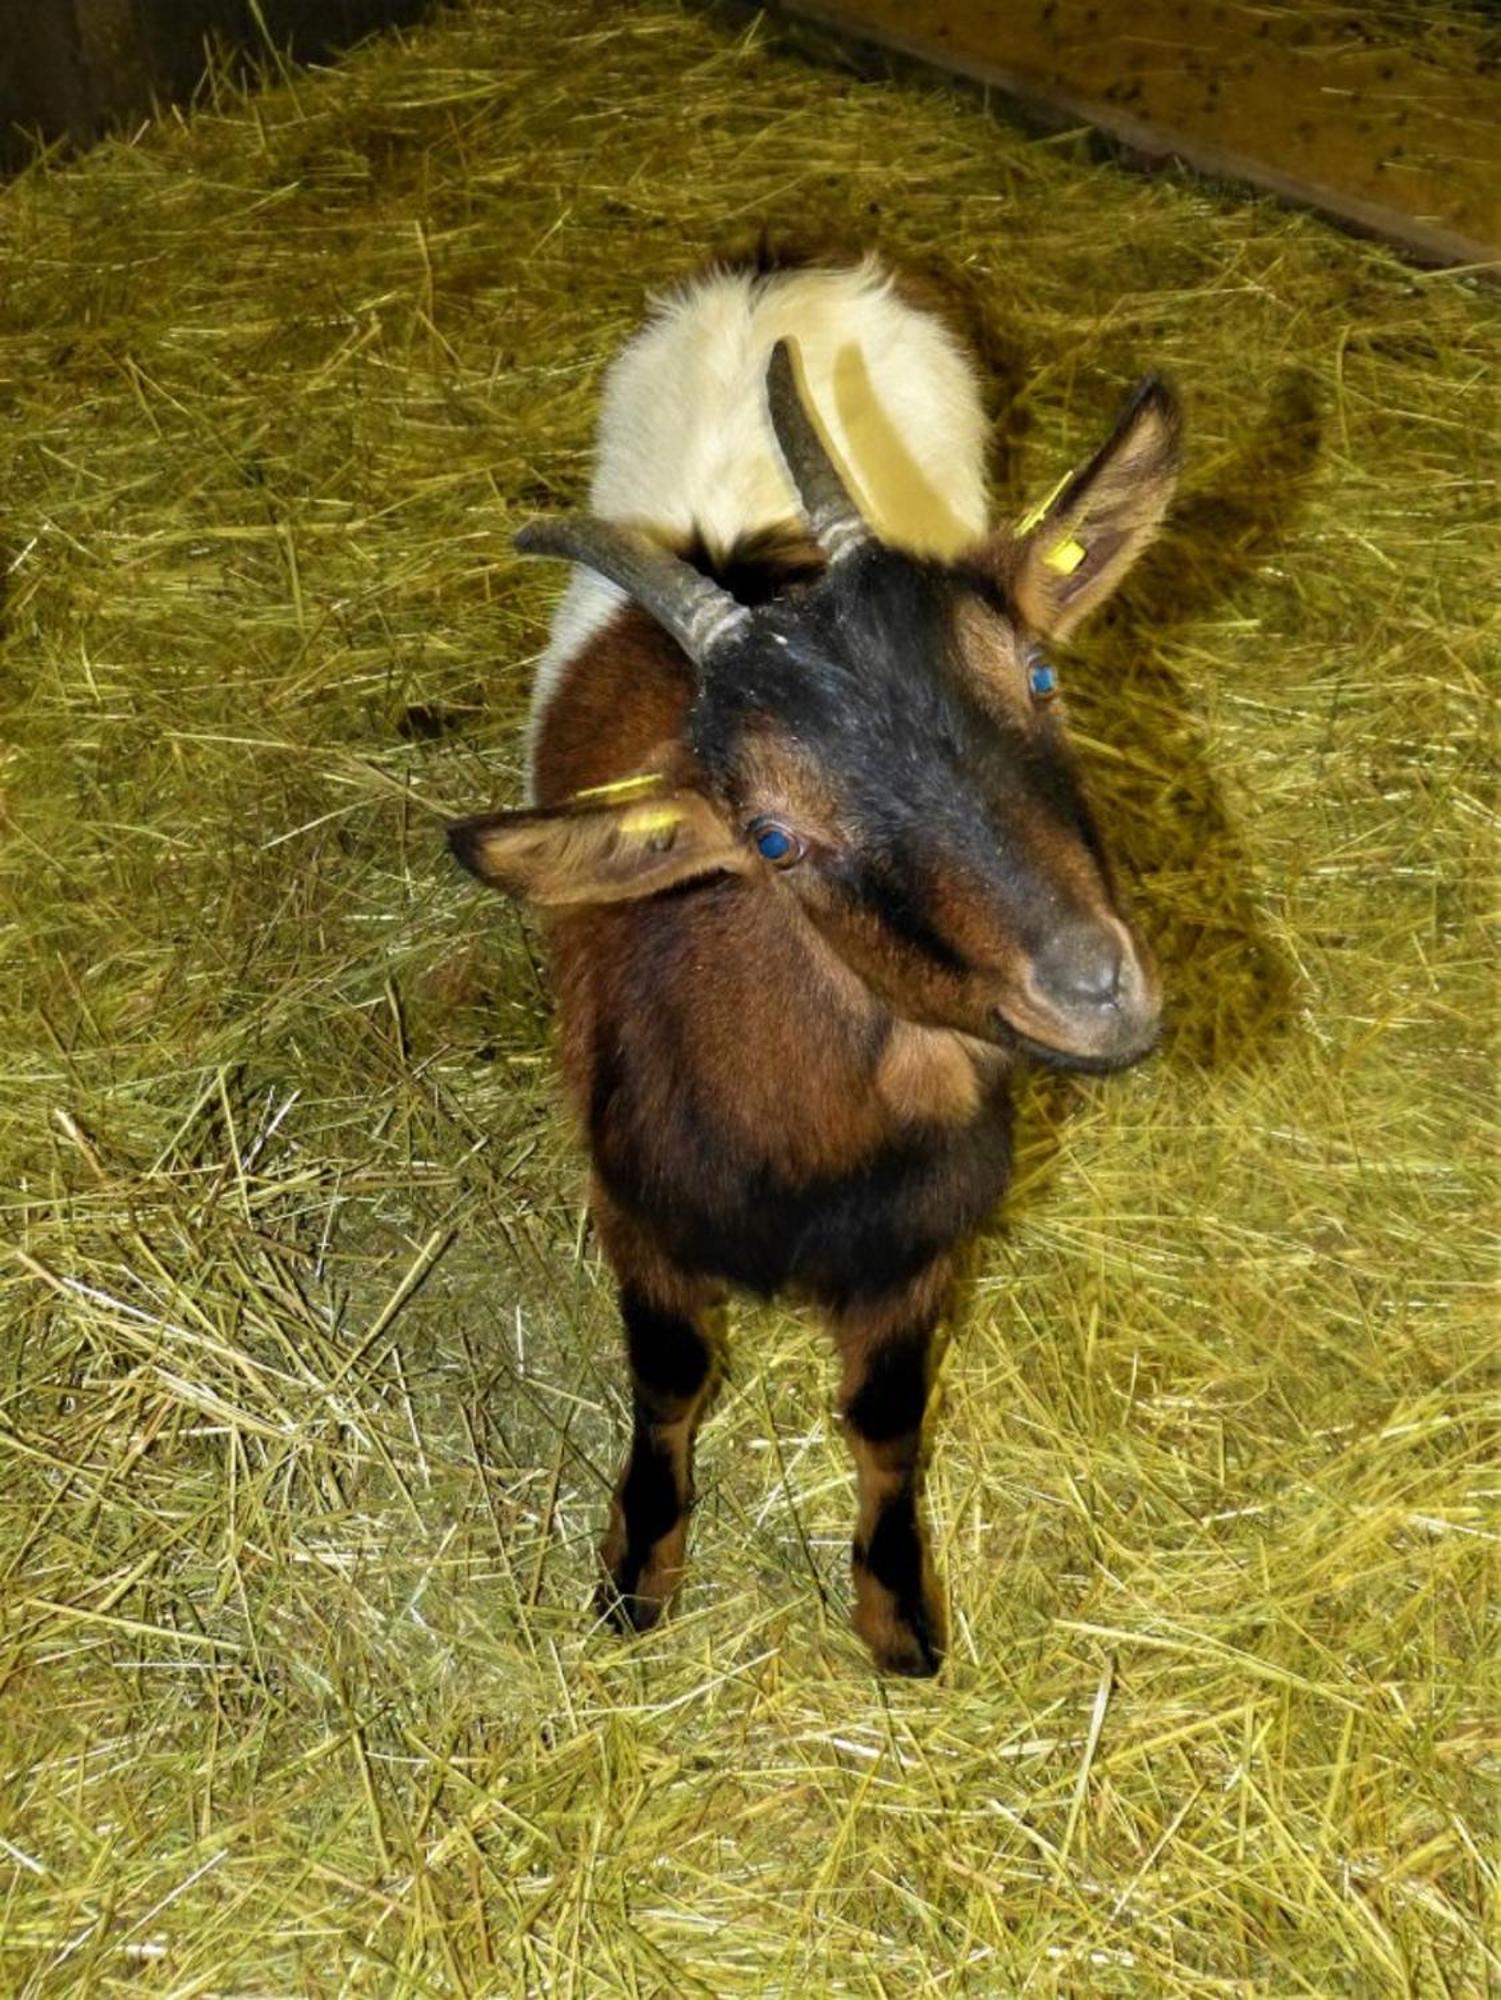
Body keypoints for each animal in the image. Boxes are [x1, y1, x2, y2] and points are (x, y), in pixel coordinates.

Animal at [452, 262, 1184, 1672]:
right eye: (774, 837)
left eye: (1039, 672)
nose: (1091, 985)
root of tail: (776, 279)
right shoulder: (637, 1209)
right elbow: (672, 1377)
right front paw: (636, 1569)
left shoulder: (924, 1245)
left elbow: (885, 1412)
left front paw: (897, 1609)